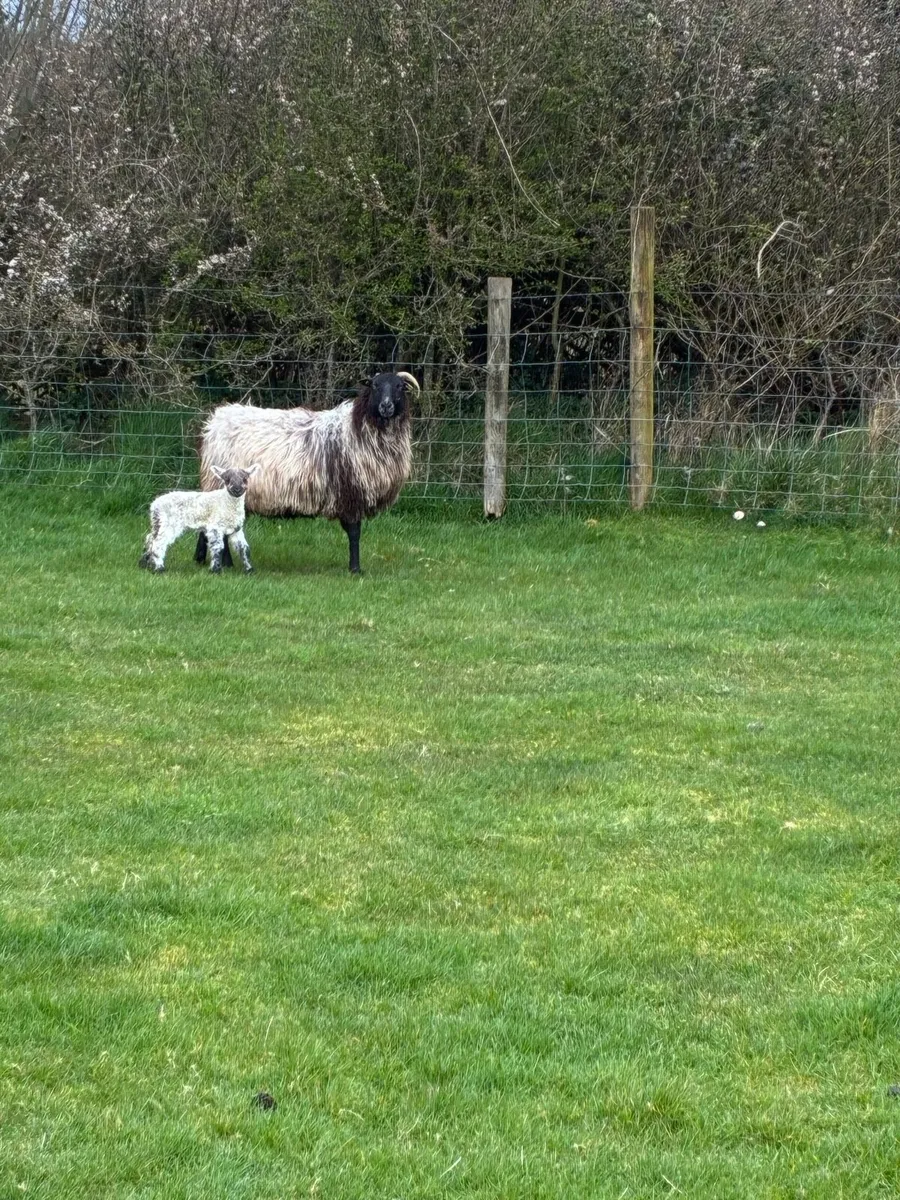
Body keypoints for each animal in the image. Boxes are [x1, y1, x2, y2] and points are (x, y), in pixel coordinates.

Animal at [194, 371, 420, 574]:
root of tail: (215, 422)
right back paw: (225, 564)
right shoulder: (350, 493)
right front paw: (355, 569)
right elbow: (355, 533)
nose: (386, 406)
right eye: (375, 386)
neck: (357, 429)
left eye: (400, 386)